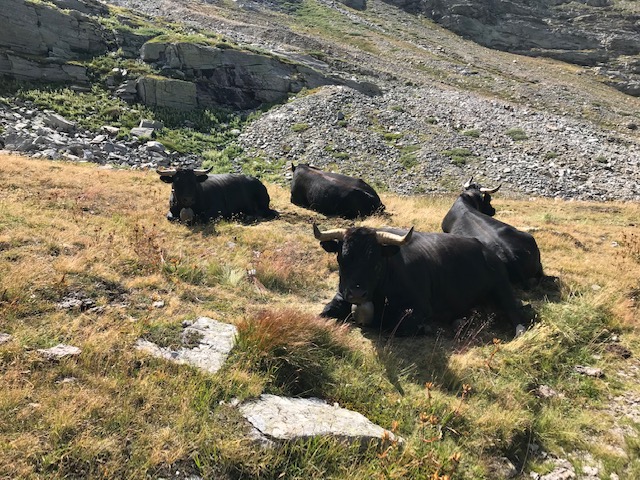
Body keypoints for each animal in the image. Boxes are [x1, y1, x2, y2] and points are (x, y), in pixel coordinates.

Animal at [314, 224, 527, 337]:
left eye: (376, 262)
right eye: (341, 258)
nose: (357, 293)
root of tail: (487, 250)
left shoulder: (420, 308)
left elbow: (393, 325)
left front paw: (426, 327)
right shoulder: (341, 295)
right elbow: (325, 312)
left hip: (502, 287)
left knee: (514, 313)